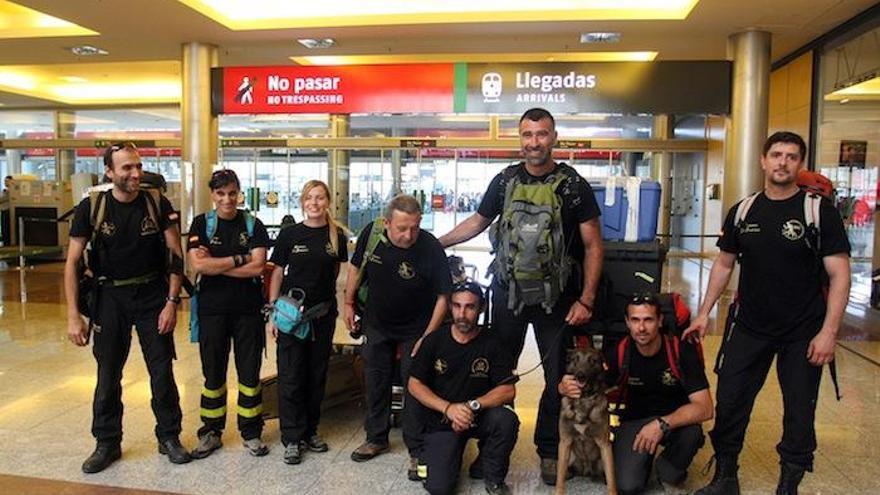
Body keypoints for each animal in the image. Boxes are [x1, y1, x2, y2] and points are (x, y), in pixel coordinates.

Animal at [556, 346, 620, 494]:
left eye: (592, 361)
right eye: (575, 359)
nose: (580, 375)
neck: (583, 398)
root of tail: (586, 470)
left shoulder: (604, 445)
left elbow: (612, 480)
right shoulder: (565, 442)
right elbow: (559, 480)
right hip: (568, 456)